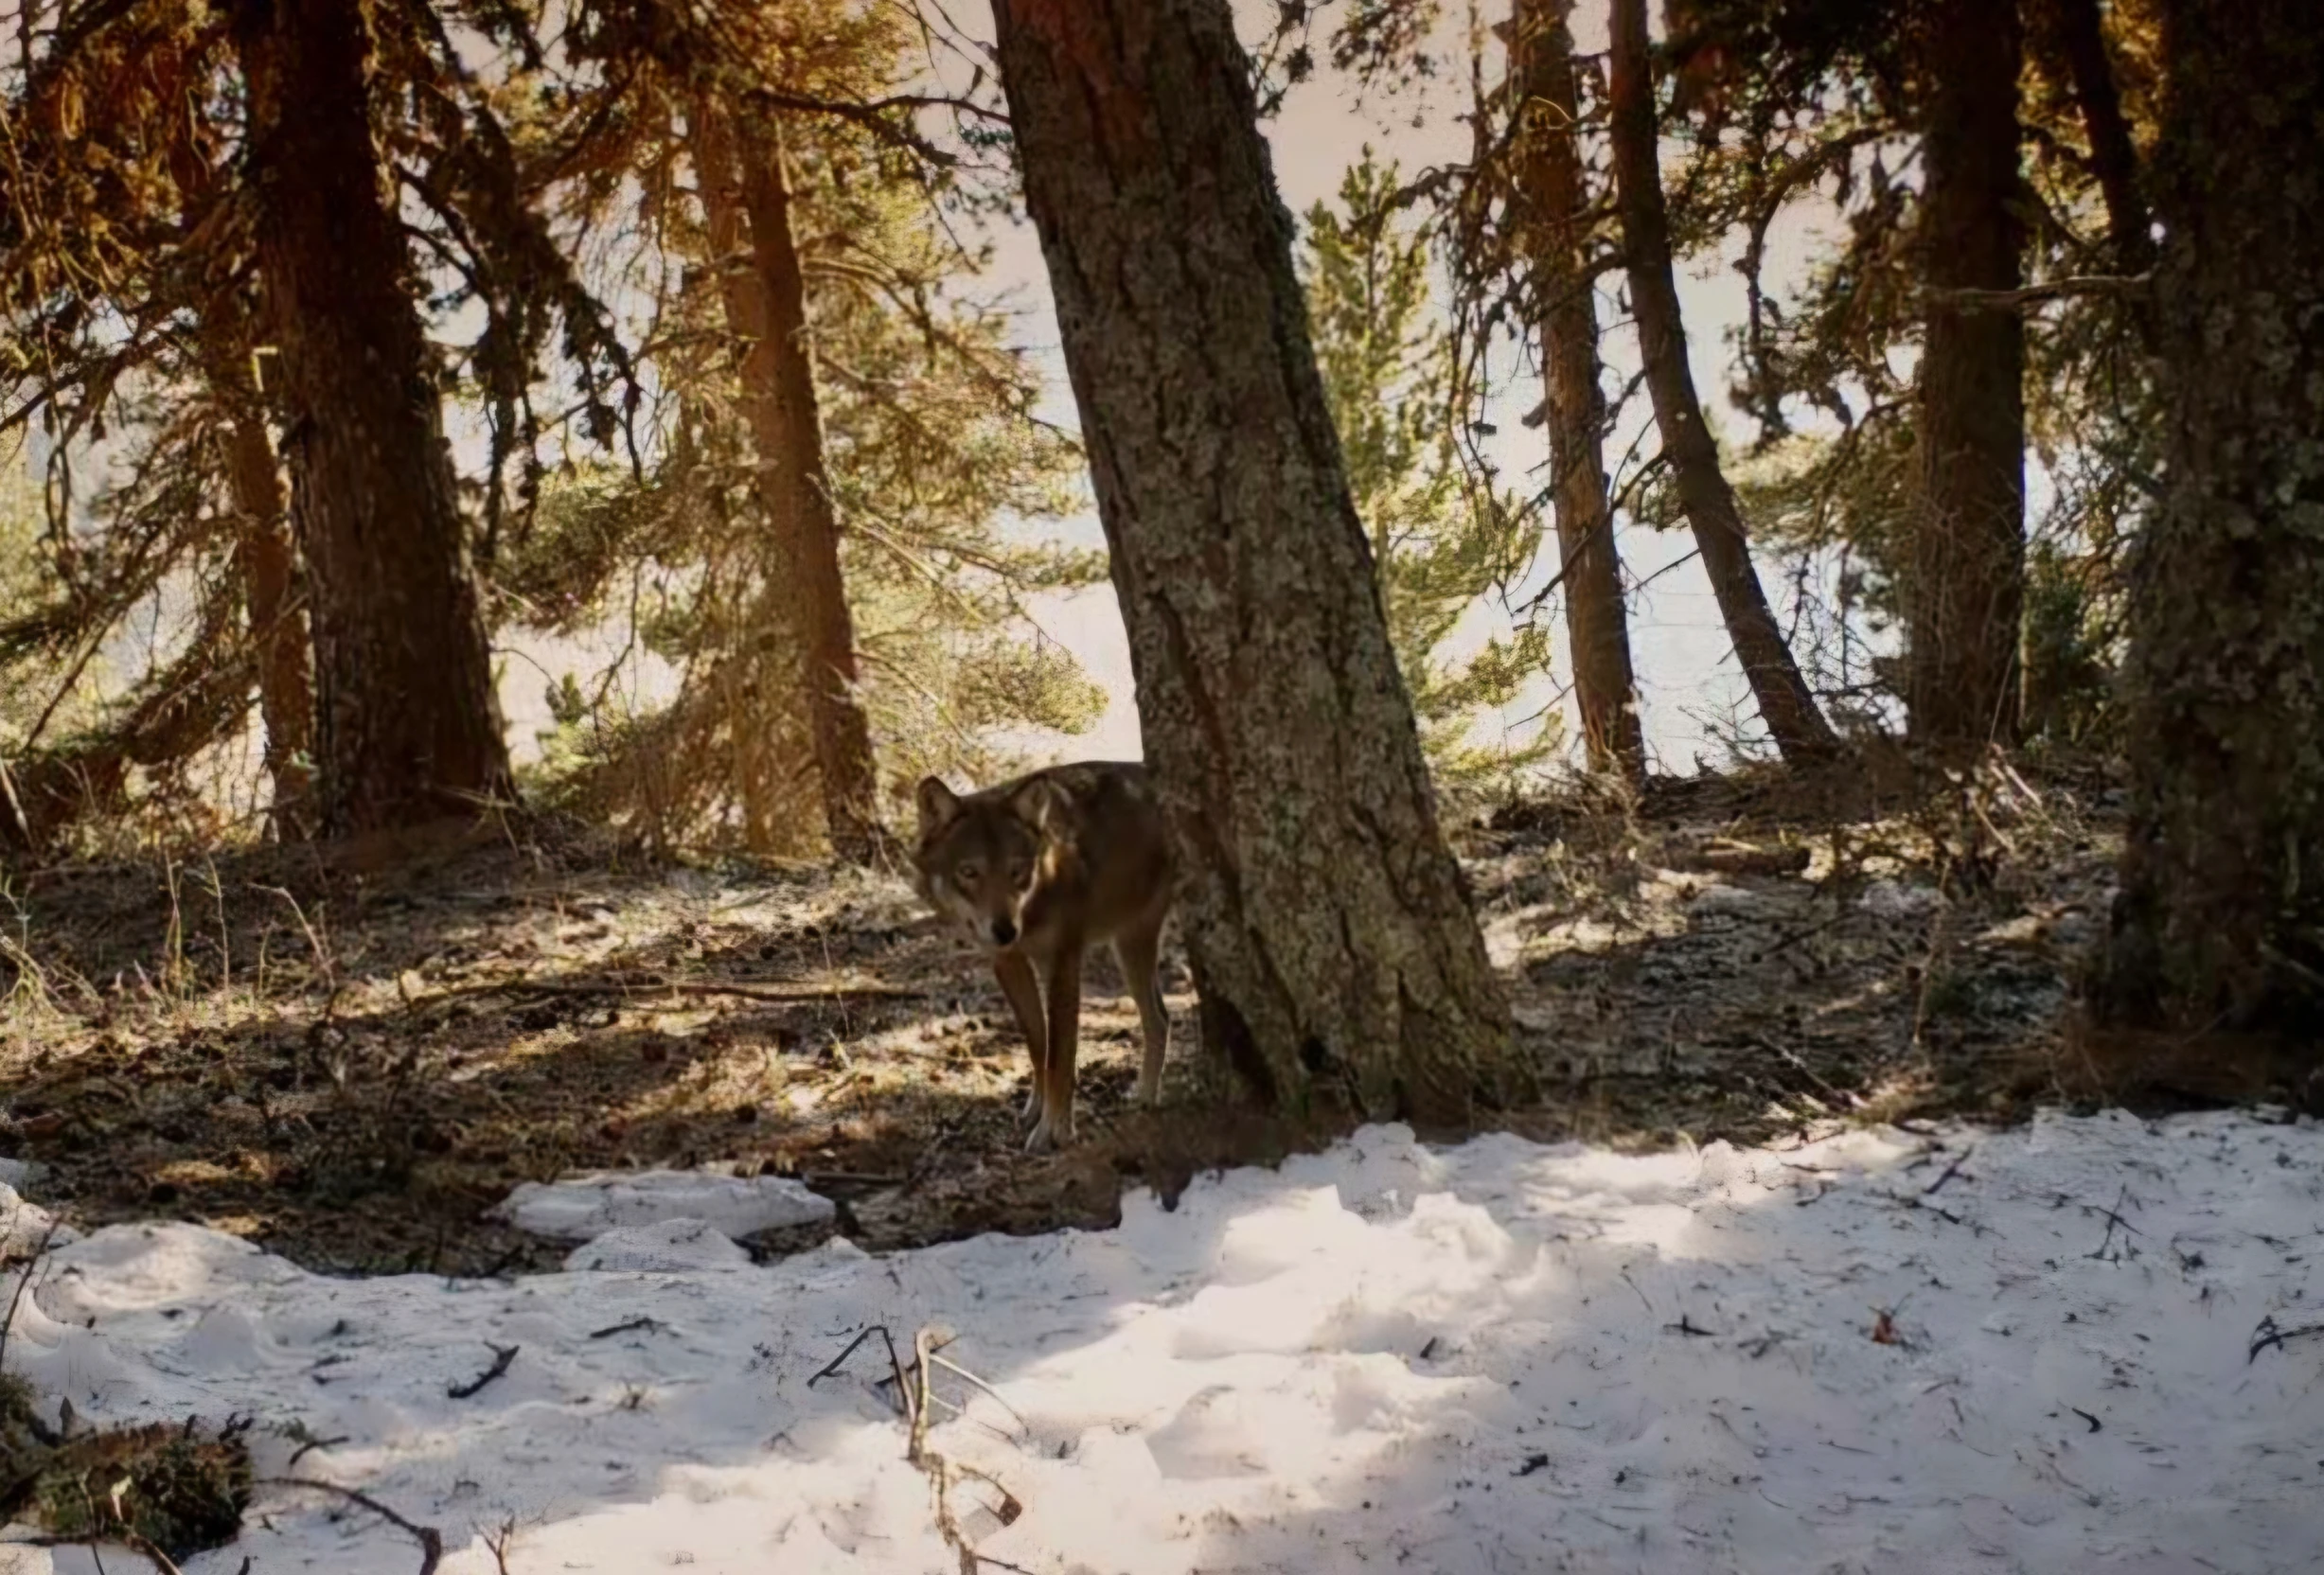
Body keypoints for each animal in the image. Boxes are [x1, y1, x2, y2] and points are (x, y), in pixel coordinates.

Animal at [910, 761, 1175, 1152]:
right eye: (969, 872)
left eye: (1016, 871)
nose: (1005, 931)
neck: (1036, 900)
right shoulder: (1009, 963)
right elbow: (1037, 1043)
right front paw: (1034, 1109)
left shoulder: (1062, 963)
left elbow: (1060, 1056)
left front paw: (1054, 1131)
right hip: (1126, 947)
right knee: (1161, 1017)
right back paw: (1143, 1095)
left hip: (1133, 945)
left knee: (1158, 1018)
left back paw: (1146, 1096)